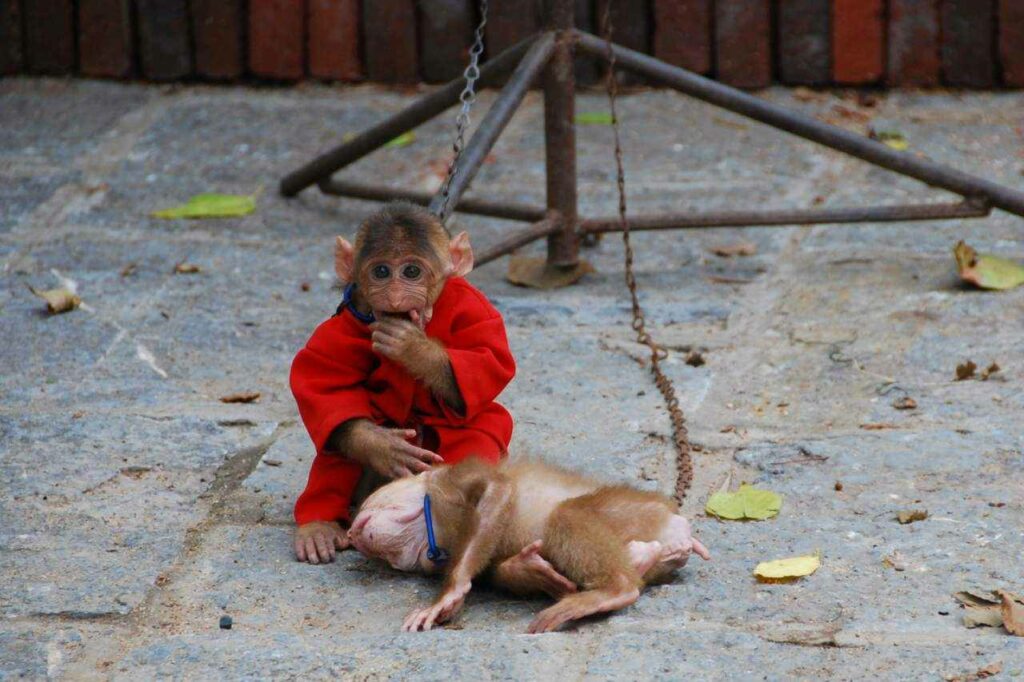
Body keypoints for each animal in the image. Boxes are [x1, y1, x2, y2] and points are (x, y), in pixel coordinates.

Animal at [289, 201, 536, 575]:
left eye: (411, 271)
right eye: (381, 271)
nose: (394, 298)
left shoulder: (477, 309)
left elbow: (487, 361)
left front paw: (413, 348)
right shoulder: (336, 331)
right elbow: (322, 384)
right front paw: (382, 446)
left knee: (476, 431)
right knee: (338, 444)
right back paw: (319, 526)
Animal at [348, 457, 710, 634]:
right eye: (396, 558)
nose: (358, 537)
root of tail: (676, 524)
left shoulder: (450, 481)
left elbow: (499, 488)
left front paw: (449, 594)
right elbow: (496, 567)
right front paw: (530, 571)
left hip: (637, 510)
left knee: (565, 516)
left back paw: (616, 588)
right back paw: (639, 559)